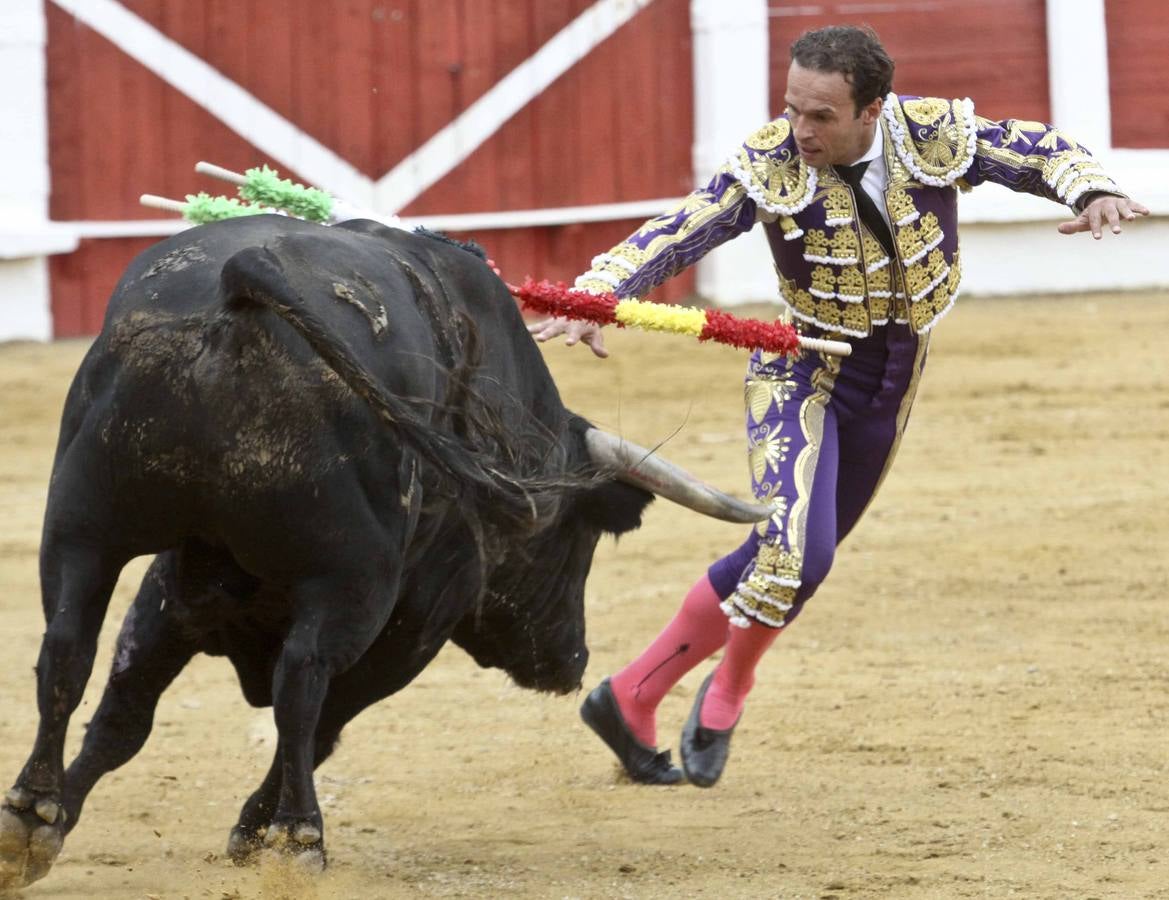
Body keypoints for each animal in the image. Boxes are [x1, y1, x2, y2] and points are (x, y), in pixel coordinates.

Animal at [2, 215, 766, 883]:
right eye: (576, 539)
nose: (571, 661)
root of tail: (243, 279)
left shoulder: (175, 588)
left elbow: (123, 714)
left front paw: (57, 820)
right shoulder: (413, 625)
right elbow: (319, 724)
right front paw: (258, 831)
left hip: (83, 526)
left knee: (67, 647)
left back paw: (30, 811)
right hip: (352, 584)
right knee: (301, 685)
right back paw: (301, 839)